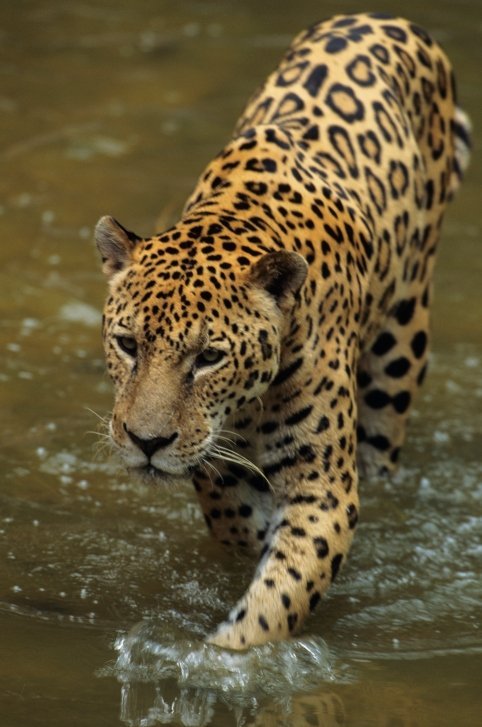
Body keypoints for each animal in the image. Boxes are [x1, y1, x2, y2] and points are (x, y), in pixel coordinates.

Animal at [94, 13, 471, 650]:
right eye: (127, 345)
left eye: (209, 357)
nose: (146, 443)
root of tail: (384, 18)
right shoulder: (216, 461)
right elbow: (235, 521)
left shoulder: (323, 488)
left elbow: (283, 590)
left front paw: (227, 657)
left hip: (401, 346)